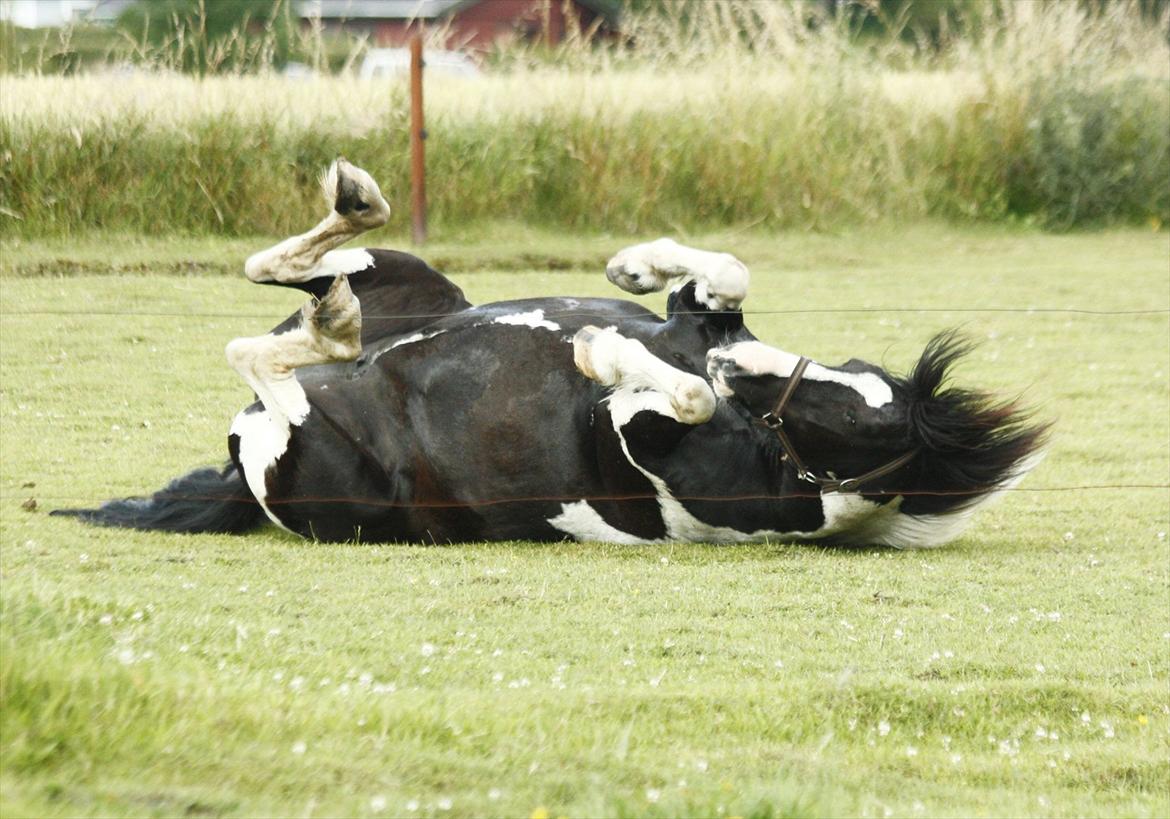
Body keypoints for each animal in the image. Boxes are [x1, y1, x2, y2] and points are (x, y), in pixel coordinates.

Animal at [54, 157, 1048, 549]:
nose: (735, 373)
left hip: (312, 459)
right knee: (298, 271)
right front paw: (637, 267)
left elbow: (665, 390)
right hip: (413, 282)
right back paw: (349, 233)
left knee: (265, 357)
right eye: (845, 382)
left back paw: (328, 328)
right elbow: (723, 273)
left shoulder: (651, 432)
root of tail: (235, 465)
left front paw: (603, 348)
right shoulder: (707, 323)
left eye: (840, 420)